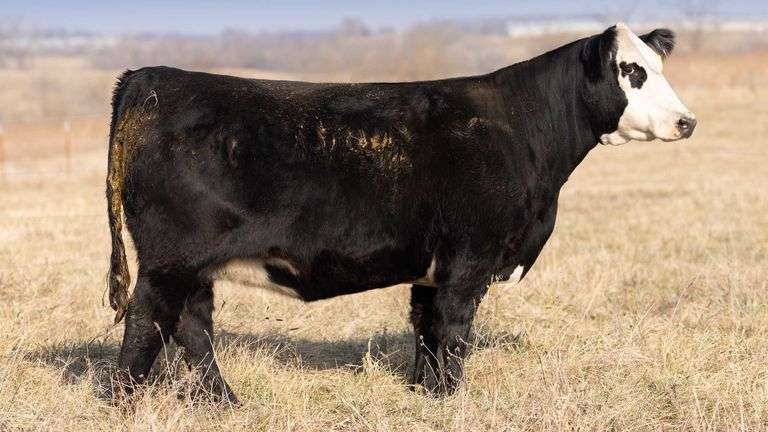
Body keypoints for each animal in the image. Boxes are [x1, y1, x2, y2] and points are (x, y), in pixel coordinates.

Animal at [106, 23, 696, 403]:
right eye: (631, 70)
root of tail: (151, 77)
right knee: (147, 321)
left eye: (658, 66)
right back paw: (125, 402)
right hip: (170, 259)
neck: (523, 132)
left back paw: (224, 401)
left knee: (192, 326)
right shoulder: (469, 259)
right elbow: (454, 331)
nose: (686, 121)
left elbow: (426, 331)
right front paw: (451, 401)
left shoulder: (433, 267)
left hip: (192, 266)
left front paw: (422, 393)